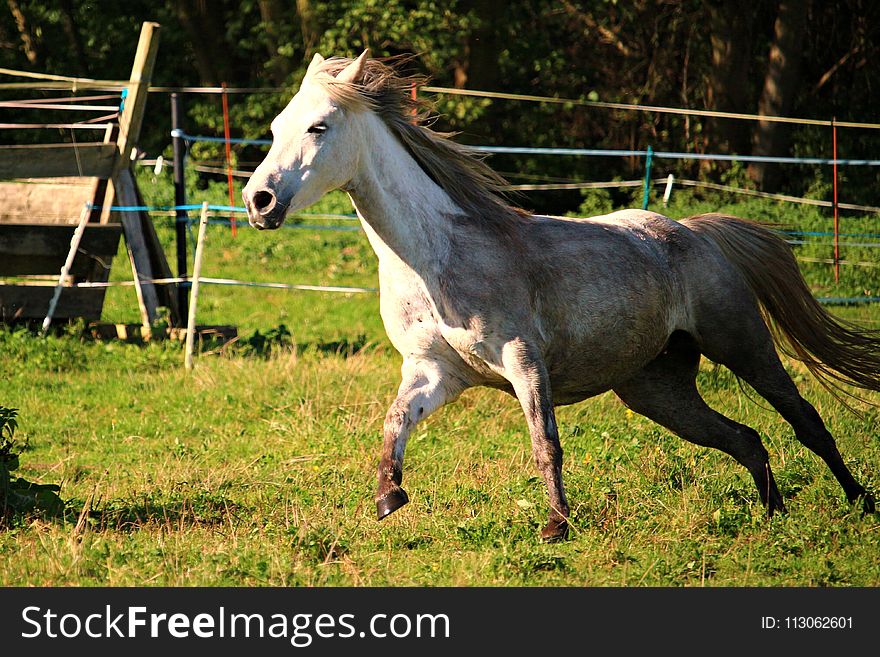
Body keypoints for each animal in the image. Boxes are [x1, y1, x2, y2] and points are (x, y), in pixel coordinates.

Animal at [244, 48, 876, 536]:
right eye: (275, 128)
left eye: (319, 127)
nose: (259, 201)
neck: (433, 258)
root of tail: (695, 233)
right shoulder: (432, 371)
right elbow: (394, 425)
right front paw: (388, 498)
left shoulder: (523, 358)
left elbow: (544, 440)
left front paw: (556, 525)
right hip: (656, 389)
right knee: (746, 440)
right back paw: (774, 516)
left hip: (742, 344)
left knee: (804, 419)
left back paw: (858, 502)